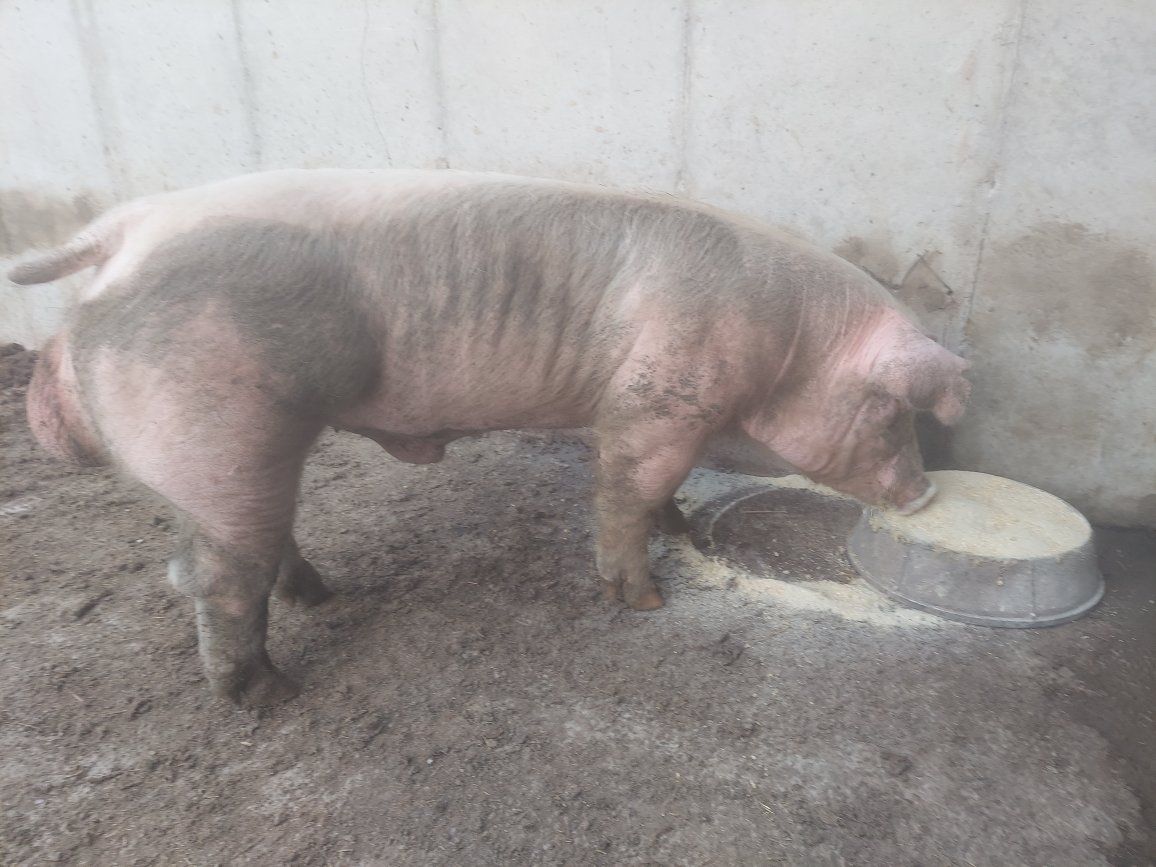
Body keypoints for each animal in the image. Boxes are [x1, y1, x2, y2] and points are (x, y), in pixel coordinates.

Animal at [9, 170, 970, 706]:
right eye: (895, 412)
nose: (927, 492)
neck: (791, 341)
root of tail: (123, 231)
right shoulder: (655, 402)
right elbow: (627, 491)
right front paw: (645, 603)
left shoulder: (662, 416)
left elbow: (660, 491)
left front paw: (678, 532)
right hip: (211, 427)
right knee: (209, 576)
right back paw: (271, 697)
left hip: (233, 451)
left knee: (253, 542)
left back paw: (320, 596)